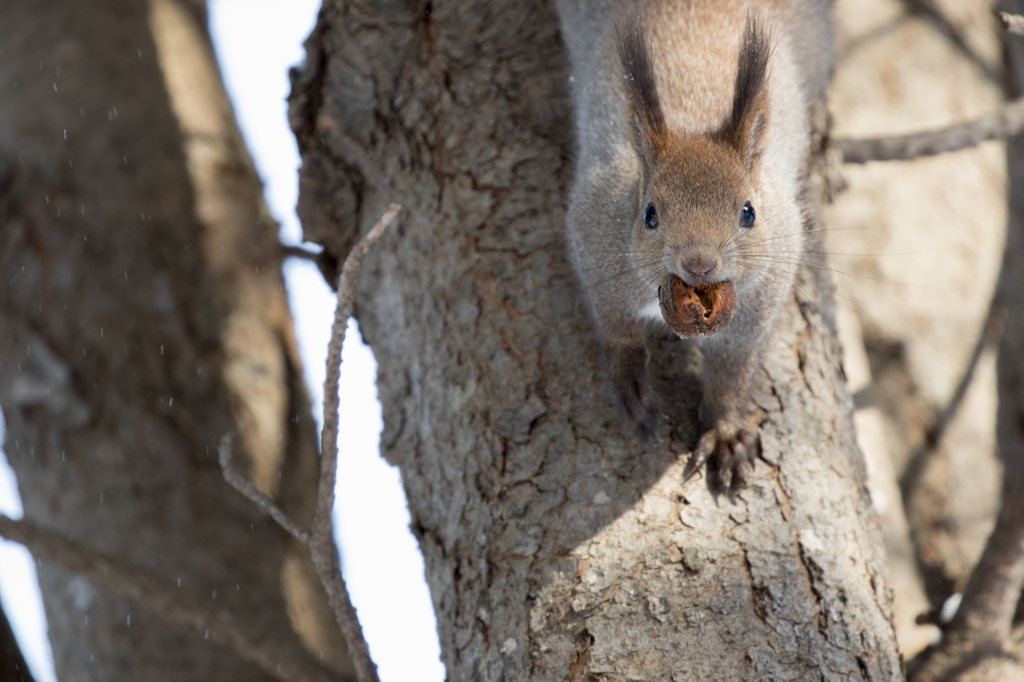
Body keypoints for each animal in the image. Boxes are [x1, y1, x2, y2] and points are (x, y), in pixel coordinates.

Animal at [557, 0, 835, 489]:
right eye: (649, 214)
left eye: (748, 212)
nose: (699, 264)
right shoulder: (595, 236)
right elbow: (615, 325)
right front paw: (630, 382)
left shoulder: (759, 301)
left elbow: (734, 369)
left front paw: (725, 431)